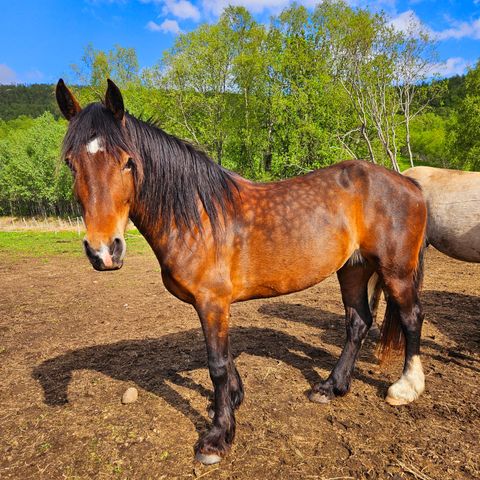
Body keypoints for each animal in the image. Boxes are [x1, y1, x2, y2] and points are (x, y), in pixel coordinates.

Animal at [55, 79, 428, 464]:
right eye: (71, 163)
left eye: (128, 162)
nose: (104, 251)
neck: (196, 216)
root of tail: (409, 184)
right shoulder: (213, 304)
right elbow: (226, 358)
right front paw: (233, 401)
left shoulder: (212, 301)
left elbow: (217, 364)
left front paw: (218, 436)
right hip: (353, 269)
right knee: (358, 323)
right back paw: (331, 386)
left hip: (396, 271)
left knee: (411, 317)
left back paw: (406, 388)